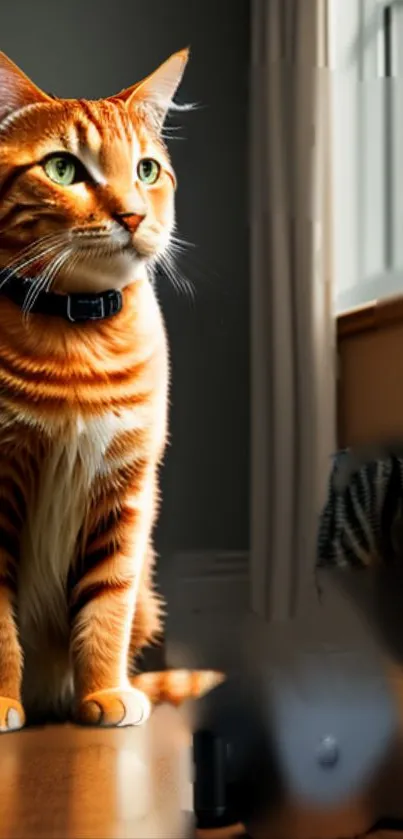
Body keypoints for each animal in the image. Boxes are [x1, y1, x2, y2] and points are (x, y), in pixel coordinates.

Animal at [0, 50, 223, 728]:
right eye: (63, 168)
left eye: (146, 169)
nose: (132, 215)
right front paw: (1, 701)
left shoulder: (126, 492)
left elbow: (105, 610)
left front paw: (103, 694)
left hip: (150, 591)